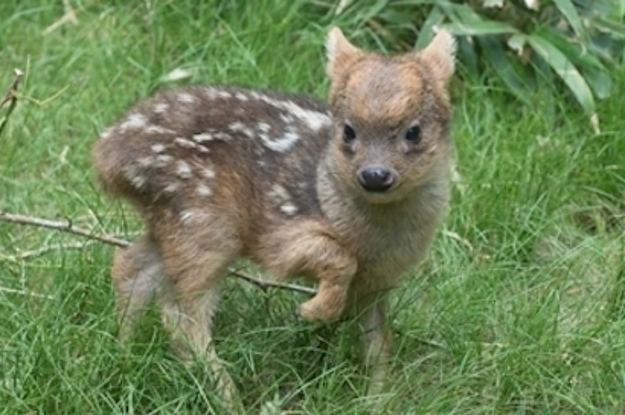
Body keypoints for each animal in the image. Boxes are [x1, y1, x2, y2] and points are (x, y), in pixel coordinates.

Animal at [91, 26, 454, 410]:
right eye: (348, 131)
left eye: (414, 131)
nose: (374, 175)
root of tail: (107, 158)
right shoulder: (279, 234)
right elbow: (338, 258)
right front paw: (313, 311)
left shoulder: (378, 281)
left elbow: (379, 341)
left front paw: (377, 399)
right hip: (204, 221)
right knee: (180, 314)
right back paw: (228, 398)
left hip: (172, 221)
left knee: (130, 267)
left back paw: (123, 353)